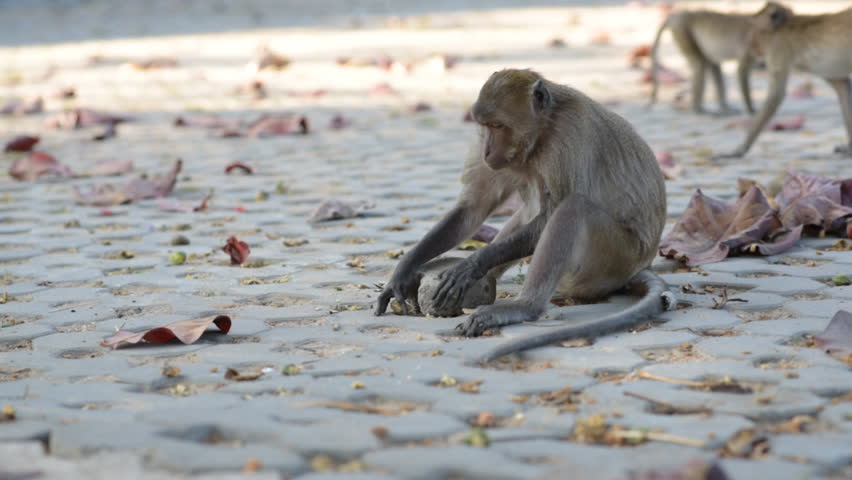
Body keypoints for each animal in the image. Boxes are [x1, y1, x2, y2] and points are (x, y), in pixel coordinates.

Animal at [376, 67, 676, 360]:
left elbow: (555, 208)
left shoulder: (569, 137)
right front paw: (404, 270)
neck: (543, 132)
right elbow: (473, 207)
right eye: (484, 126)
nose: (486, 150)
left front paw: (472, 264)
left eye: (498, 126)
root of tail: (641, 264)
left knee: (573, 208)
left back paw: (524, 306)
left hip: (613, 260)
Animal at [720, 3, 852, 158]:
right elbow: (842, 86)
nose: (751, 43)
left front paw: (739, 150)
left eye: (752, 27)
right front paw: (849, 148)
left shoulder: (778, 48)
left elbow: (776, 95)